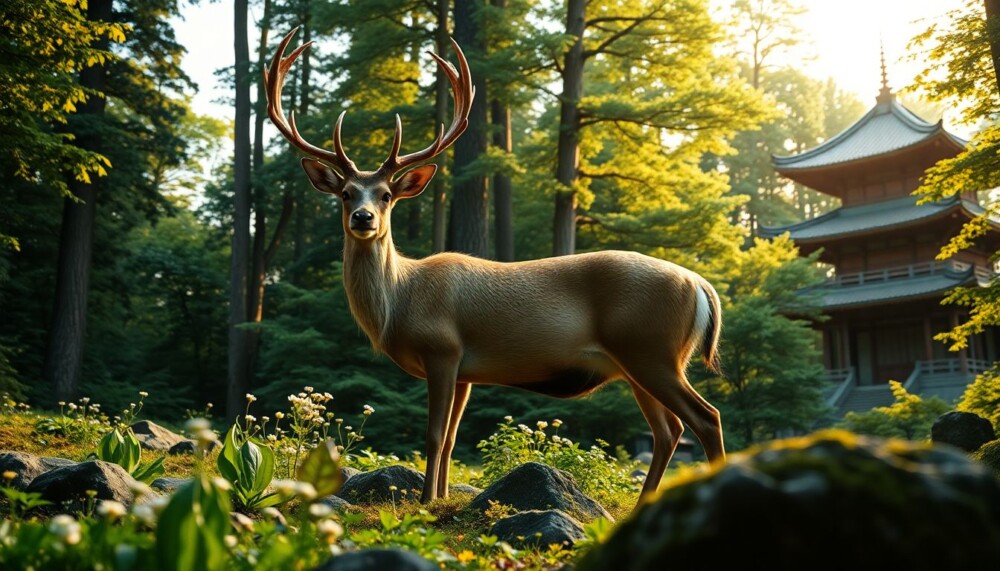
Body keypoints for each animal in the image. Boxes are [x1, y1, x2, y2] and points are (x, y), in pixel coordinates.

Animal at [264, 28, 726, 505]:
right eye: (346, 194)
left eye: (386, 196)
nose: (363, 218)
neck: (400, 302)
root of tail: (701, 286)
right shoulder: (465, 371)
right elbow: (451, 439)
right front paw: (441, 497)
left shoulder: (442, 348)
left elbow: (433, 436)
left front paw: (426, 502)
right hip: (637, 362)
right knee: (668, 429)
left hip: (651, 349)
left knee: (705, 417)